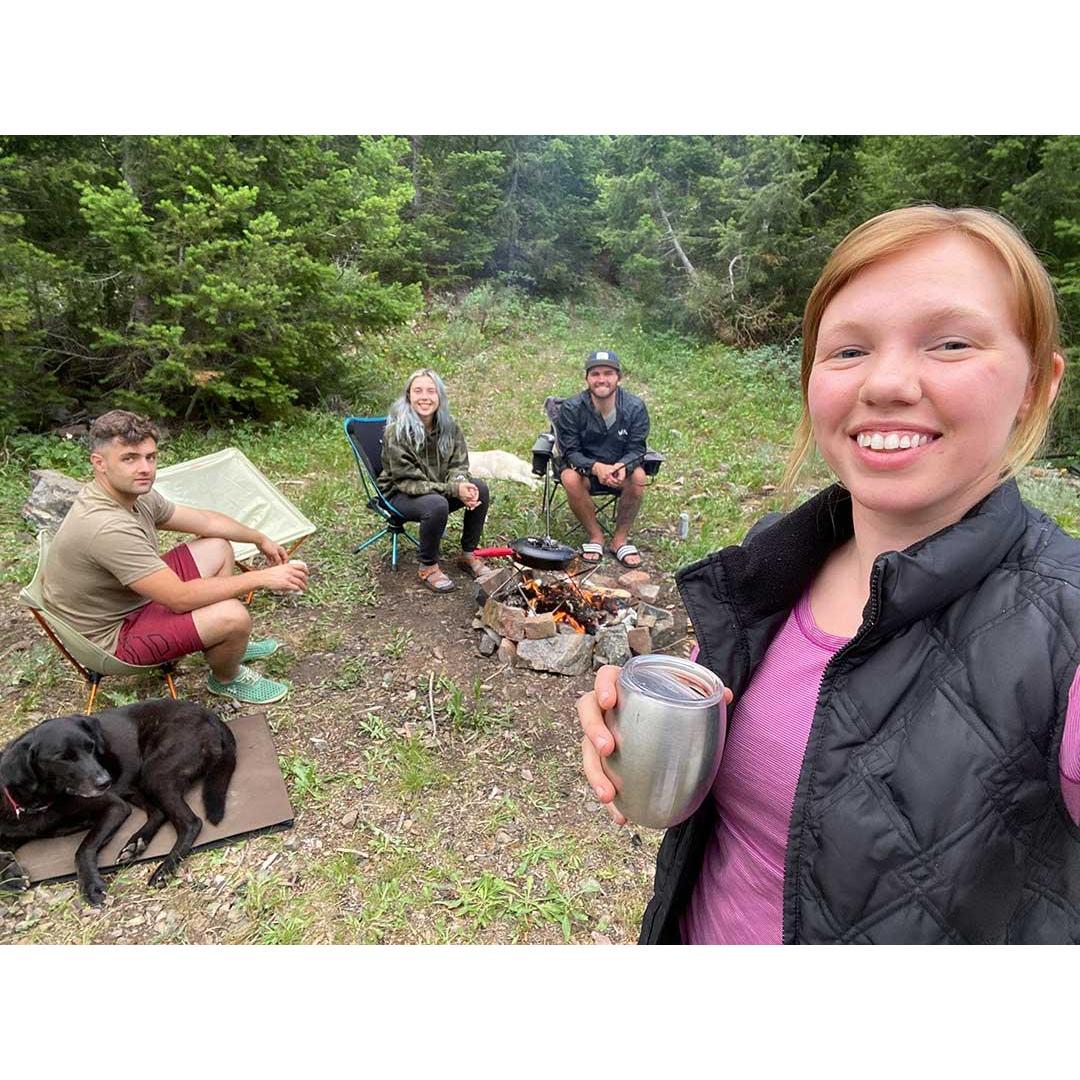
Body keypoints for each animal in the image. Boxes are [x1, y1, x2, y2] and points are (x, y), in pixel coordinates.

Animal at [0, 695, 236, 907]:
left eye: (91, 747)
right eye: (63, 758)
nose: (105, 781)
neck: (40, 803)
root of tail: (210, 714)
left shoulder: (115, 807)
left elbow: (83, 848)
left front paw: (91, 885)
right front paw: (12, 876)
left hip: (153, 774)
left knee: (190, 822)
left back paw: (164, 869)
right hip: (135, 784)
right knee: (158, 813)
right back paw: (136, 843)